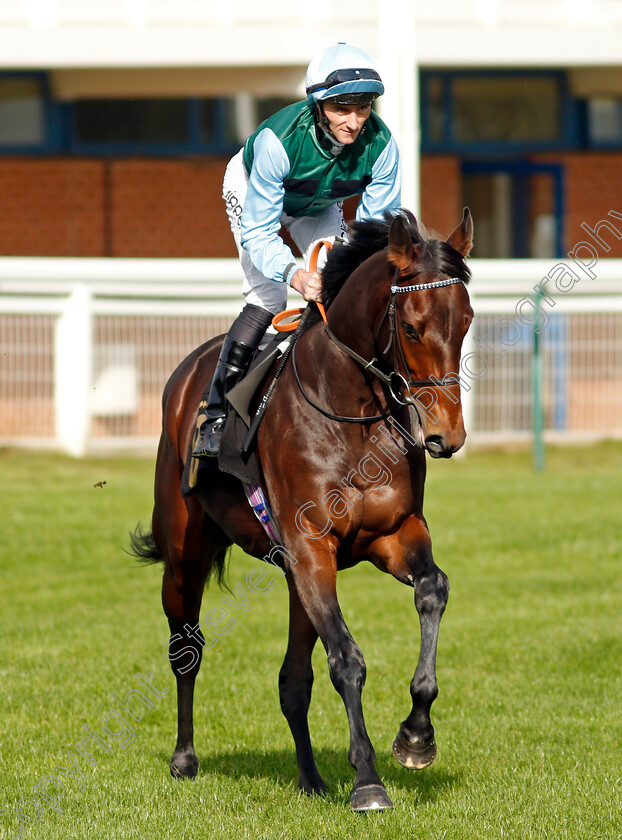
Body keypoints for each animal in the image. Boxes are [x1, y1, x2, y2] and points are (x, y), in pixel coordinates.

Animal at [130, 207, 472, 812]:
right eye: (411, 327)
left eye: (468, 321)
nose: (444, 436)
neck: (348, 412)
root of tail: (188, 371)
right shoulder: (312, 547)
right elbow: (347, 660)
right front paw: (368, 781)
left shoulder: (391, 534)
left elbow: (434, 589)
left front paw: (416, 735)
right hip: (184, 554)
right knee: (185, 649)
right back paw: (184, 757)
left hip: (294, 576)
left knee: (293, 680)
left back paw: (310, 777)